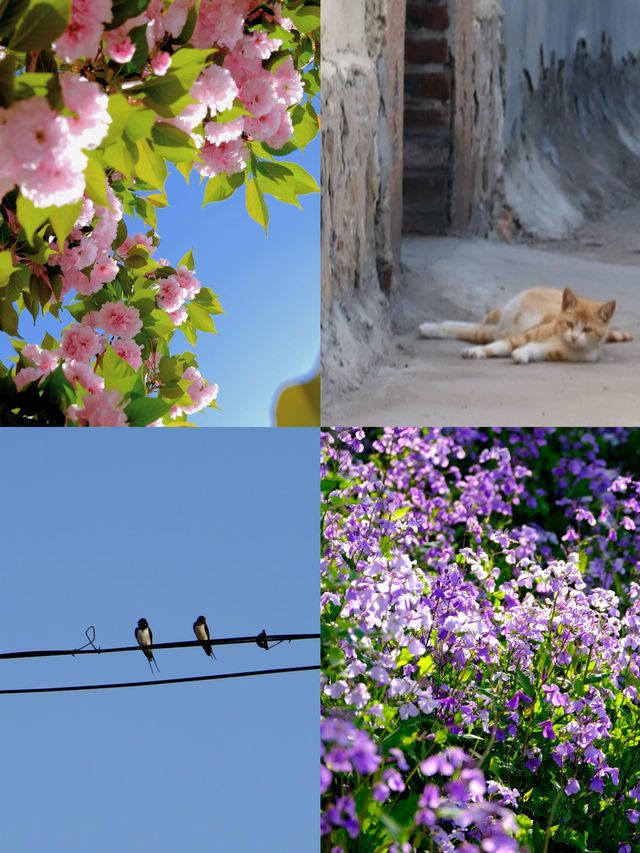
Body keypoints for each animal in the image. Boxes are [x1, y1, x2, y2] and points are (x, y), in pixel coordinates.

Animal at [418, 290, 632, 362]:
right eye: (569, 324)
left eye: (587, 330)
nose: (573, 337)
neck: (563, 342)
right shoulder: (524, 336)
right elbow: (500, 346)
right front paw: (477, 352)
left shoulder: (550, 352)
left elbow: (531, 350)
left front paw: (520, 355)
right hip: (504, 320)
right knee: (478, 328)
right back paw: (429, 327)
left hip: (493, 330)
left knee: (473, 330)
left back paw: (433, 326)